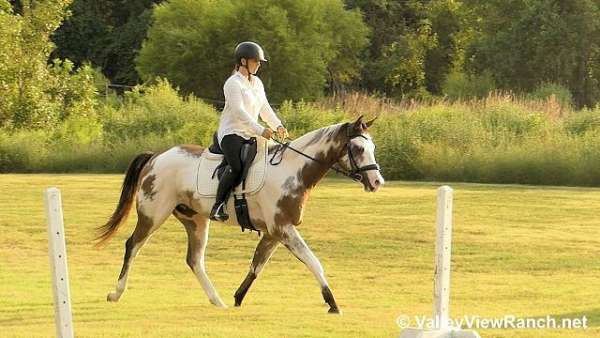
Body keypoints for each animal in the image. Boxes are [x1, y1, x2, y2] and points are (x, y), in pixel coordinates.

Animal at [95, 114, 384, 314]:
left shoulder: (274, 232)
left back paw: (217, 300)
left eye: (372, 148)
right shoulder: (283, 229)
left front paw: (237, 298)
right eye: (358, 149)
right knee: (133, 246)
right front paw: (333, 303)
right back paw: (116, 293)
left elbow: (257, 265)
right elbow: (314, 262)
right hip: (153, 215)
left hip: (195, 221)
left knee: (194, 260)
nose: (377, 182)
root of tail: (156, 157)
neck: (293, 171)